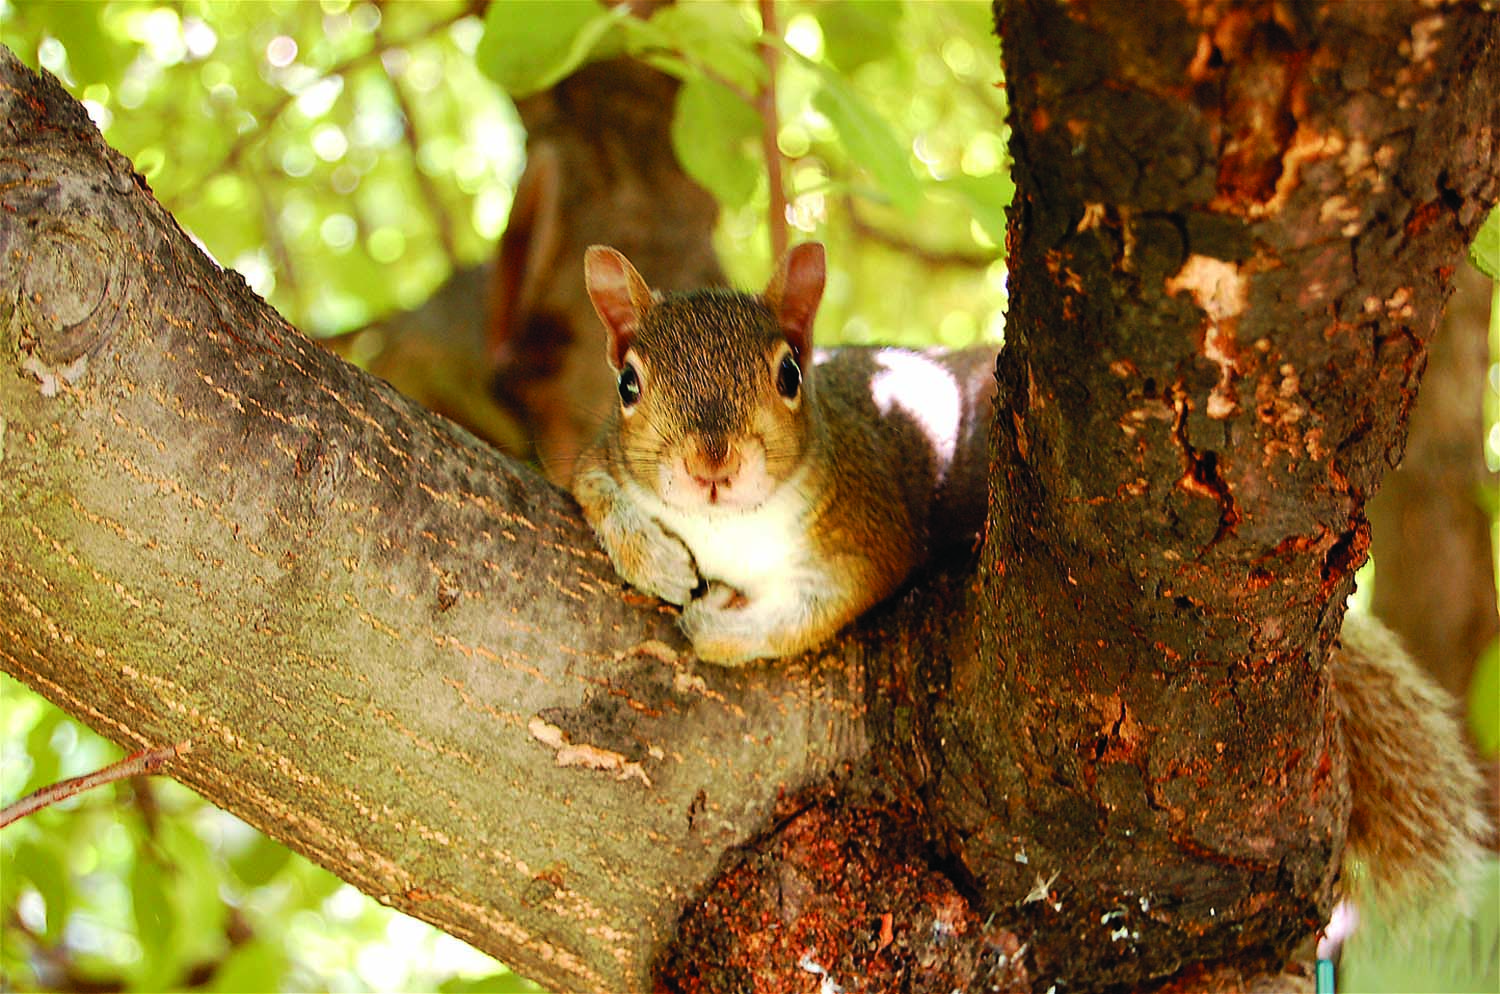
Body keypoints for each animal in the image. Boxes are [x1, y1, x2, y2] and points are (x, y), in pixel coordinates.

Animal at [571, 243, 1489, 908]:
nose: (711, 465)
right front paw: (655, 556)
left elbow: (809, 613)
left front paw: (719, 629)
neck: (727, 526)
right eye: (628, 384)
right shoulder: (598, 459)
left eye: (789, 373)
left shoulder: (864, 527)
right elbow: (595, 489)